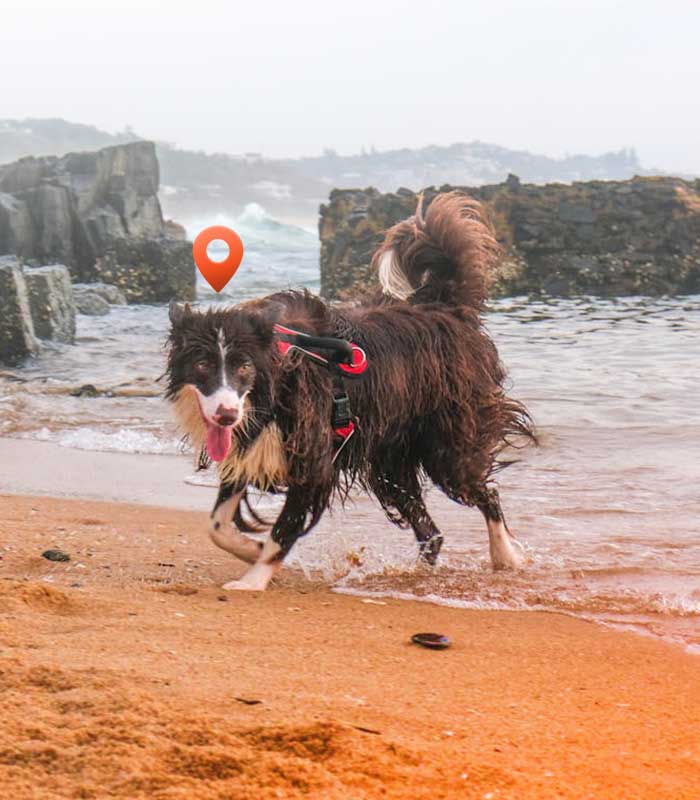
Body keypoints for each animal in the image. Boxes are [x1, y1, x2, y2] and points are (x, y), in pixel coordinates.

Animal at [165, 192, 536, 592]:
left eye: (243, 367)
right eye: (203, 365)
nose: (226, 415)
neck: (279, 377)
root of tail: (447, 310)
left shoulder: (313, 460)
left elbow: (283, 530)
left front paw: (253, 580)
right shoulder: (251, 442)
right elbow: (217, 525)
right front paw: (252, 549)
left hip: (448, 445)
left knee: (485, 492)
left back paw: (506, 556)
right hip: (391, 463)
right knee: (431, 531)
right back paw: (417, 575)